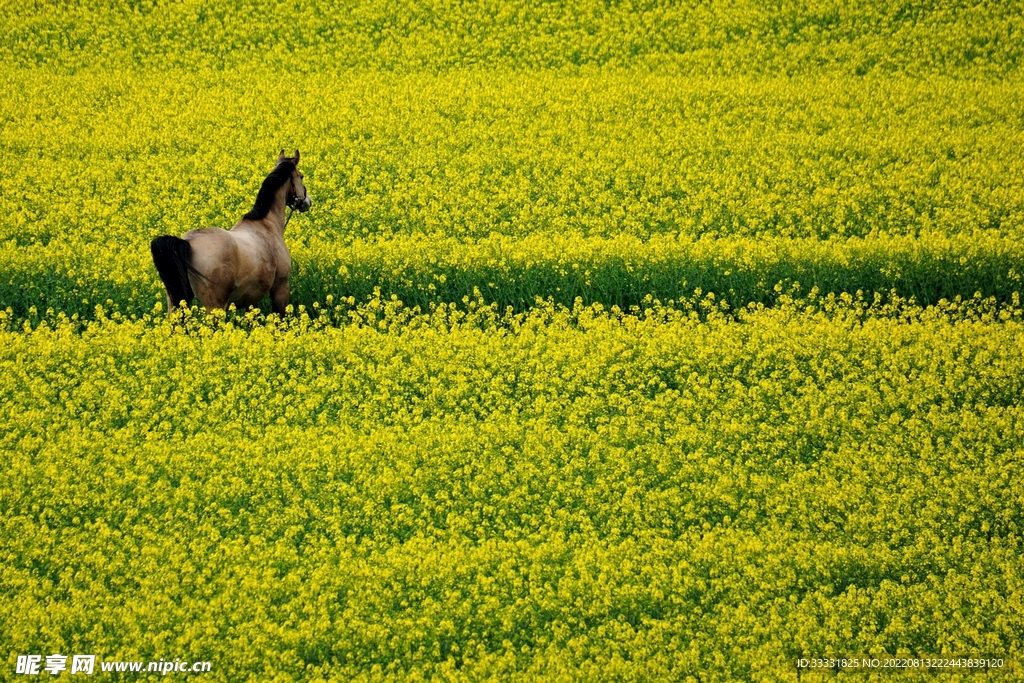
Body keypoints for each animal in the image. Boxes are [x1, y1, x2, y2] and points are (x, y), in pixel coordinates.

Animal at [150, 150, 311, 316]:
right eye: (301, 176)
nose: (308, 202)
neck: (266, 223)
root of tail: (187, 242)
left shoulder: (250, 299)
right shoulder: (281, 287)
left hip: (176, 302)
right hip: (215, 305)